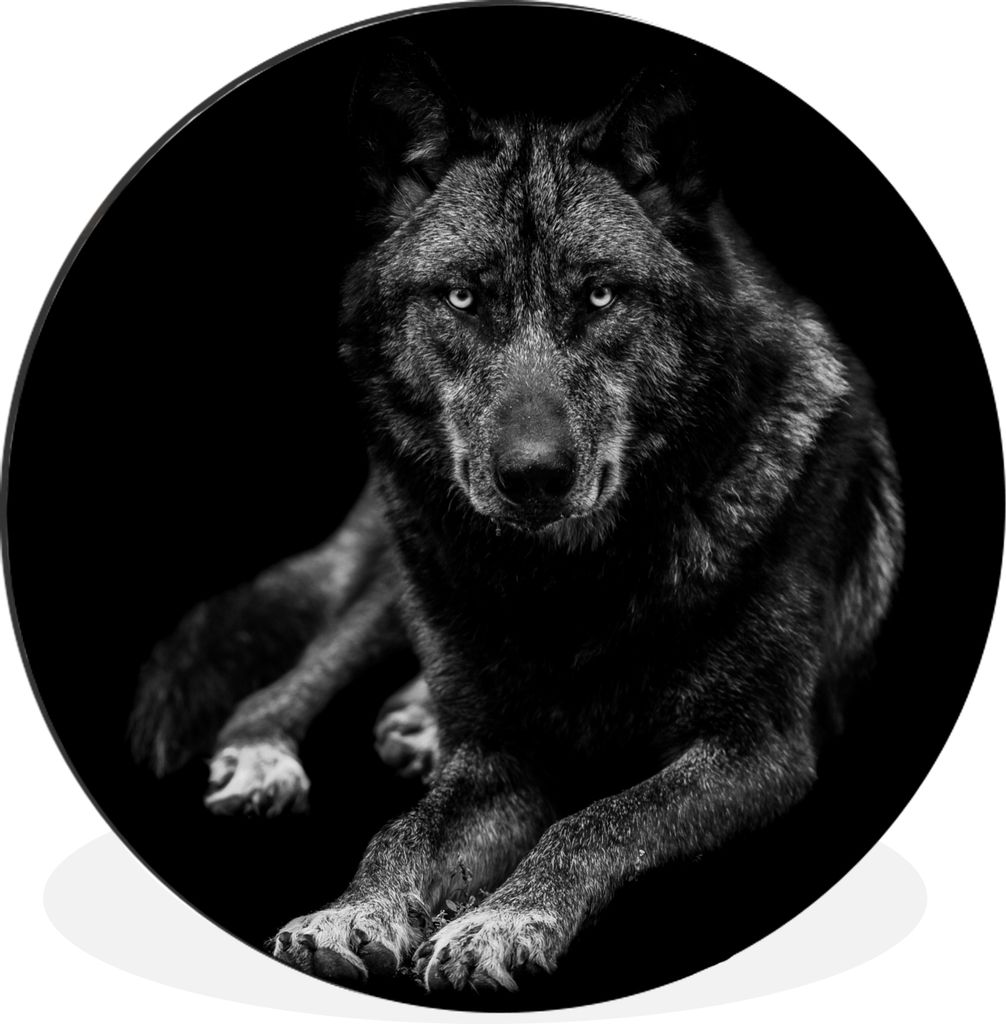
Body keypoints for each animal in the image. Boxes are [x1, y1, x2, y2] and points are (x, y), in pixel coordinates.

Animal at [130, 42, 903, 995]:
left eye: (601, 296)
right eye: (462, 299)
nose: (535, 476)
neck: (568, 588)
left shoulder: (759, 748)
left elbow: (601, 817)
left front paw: (496, 920)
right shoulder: (500, 757)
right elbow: (404, 831)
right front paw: (353, 910)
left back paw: (416, 725)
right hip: (404, 571)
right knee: (287, 680)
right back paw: (273, 750)